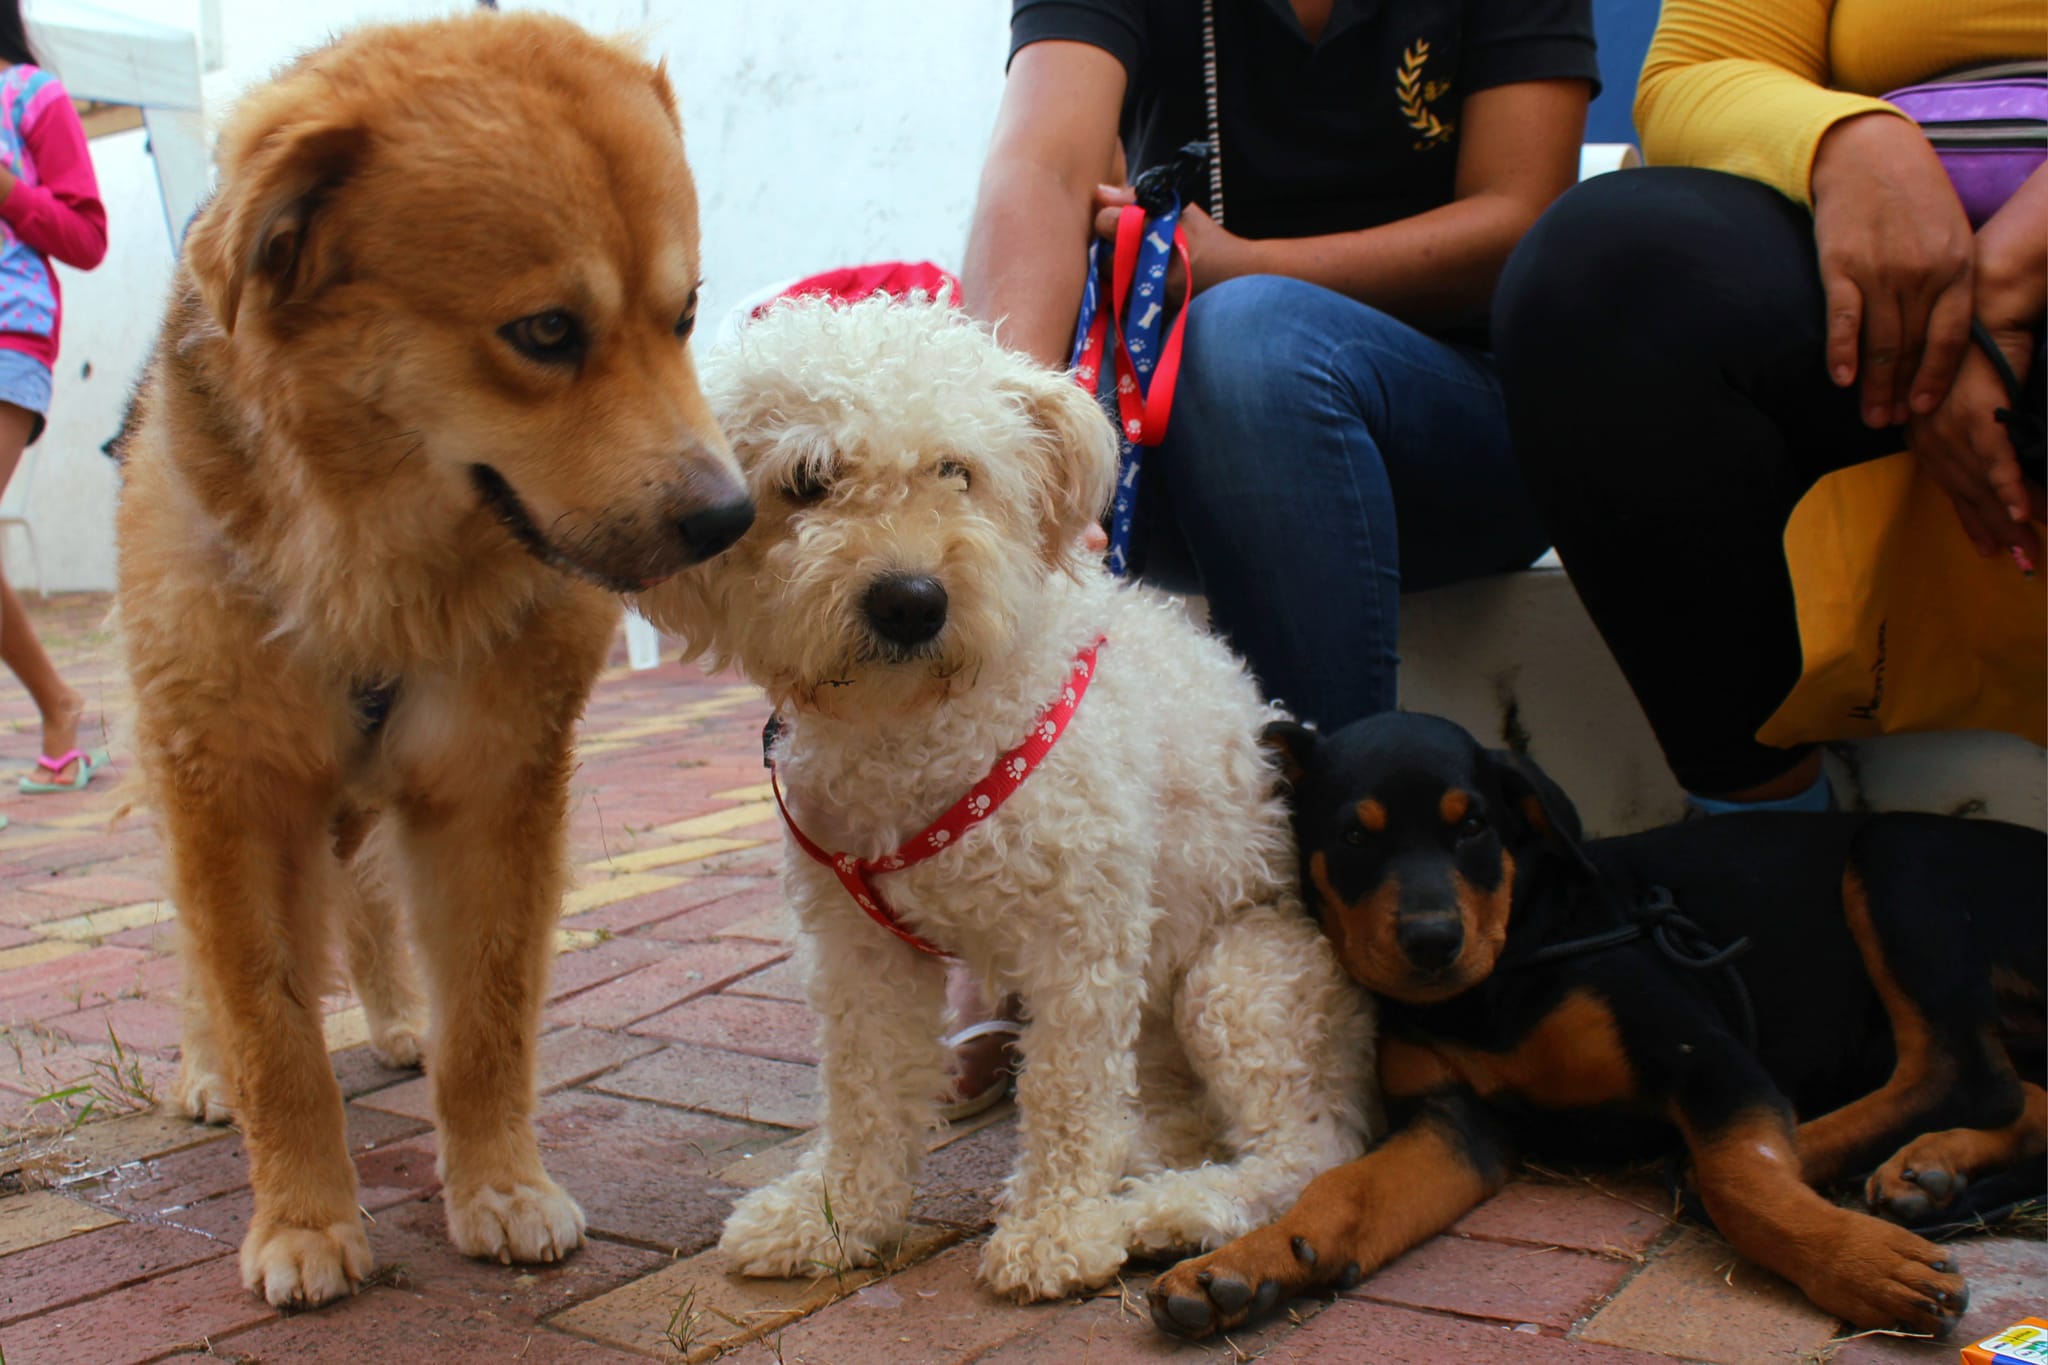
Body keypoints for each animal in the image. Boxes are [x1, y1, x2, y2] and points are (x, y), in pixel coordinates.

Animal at [115, 12, 751, 1307]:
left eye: (685, 315)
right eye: (545, 333)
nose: (730, 518)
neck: (377, 581)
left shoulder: (493, 784)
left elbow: (490, 1022)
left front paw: (498, 1185)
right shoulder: (231, 794)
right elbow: (269, 1027)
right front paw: (302, 1218)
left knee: (364, 903)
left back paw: (398, 1017)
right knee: (208, 962)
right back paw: (205, 1072)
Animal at [636, 294, 1374, 1302]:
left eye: (959, 470)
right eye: (808, 480)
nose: (911, 601)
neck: (924, 737)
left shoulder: (1082, 937)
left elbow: (1064, 1093)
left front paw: (1055, 1233)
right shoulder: (859, 946)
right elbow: (866, 1091)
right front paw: (835, 1217)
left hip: (1242, 977)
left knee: (1305, 1148)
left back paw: (1173, 1211)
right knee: (1178, 1121)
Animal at [1148, 712, 2046, 1340]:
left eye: (1472, 825)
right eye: (1352, 835)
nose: (1434, 942)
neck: (1500, 981)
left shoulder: (1709, 1059)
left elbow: (1744, 1178)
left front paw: (1861, 1266)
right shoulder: (1454, 1125)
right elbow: (1346, 1189)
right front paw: (1245, 1264)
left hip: (1897, 854)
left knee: (1961, 1071)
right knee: (2020, 1093)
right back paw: (1929, 1169)